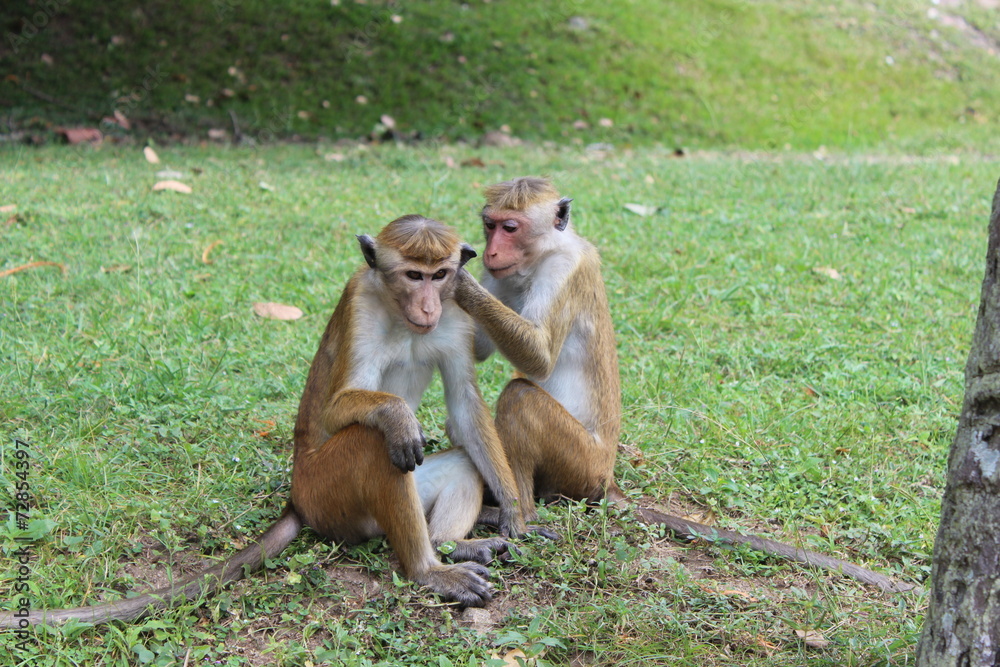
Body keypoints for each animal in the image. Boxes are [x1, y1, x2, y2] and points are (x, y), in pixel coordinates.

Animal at [1, 214, 526, 629]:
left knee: (458, 461)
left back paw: (449, 544)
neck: (399, 312)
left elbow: (464, 407)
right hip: (329, 493)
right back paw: (427, 568)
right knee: (373, 442)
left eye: (440, 275)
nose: (428, 305)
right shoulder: (360, 301)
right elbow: (339, 408)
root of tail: (298, 500)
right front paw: (395, 413)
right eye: (413, 275)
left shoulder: (457, 311)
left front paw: (516, 513)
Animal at [455, 177, 914, 594]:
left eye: (510, 228)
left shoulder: (562, 271)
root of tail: (608, 479)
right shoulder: (503, 275)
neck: (543, 253)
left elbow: (538, 357)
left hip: (580, 462)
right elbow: (476, 352)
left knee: (520, 396)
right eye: (489, 225)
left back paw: (521, 519)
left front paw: (457, 282)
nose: (491, 250)